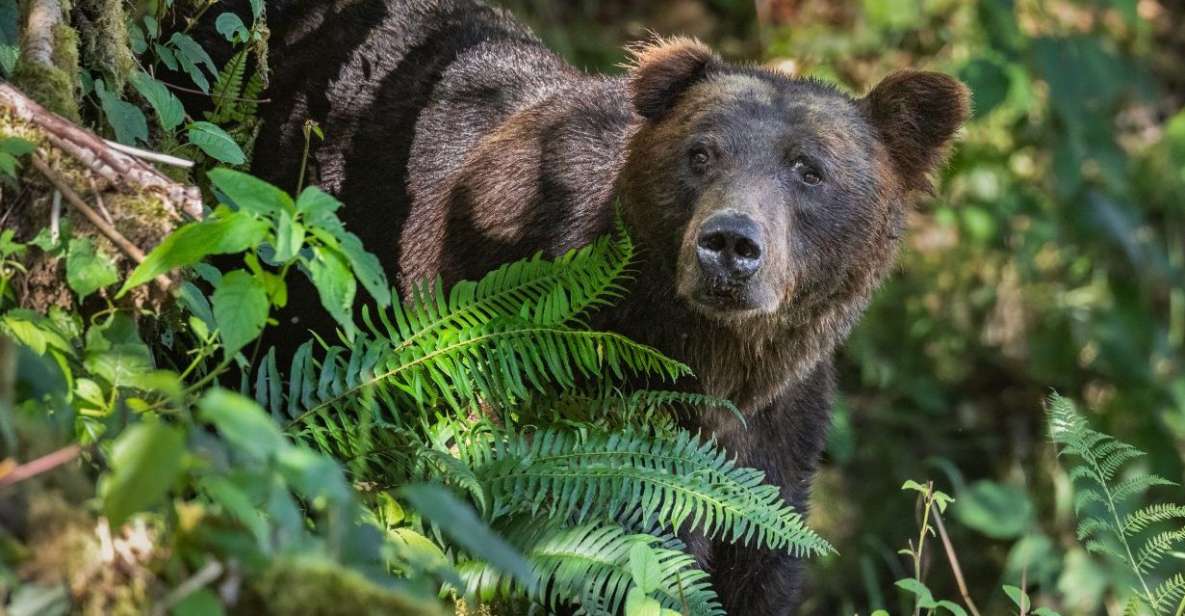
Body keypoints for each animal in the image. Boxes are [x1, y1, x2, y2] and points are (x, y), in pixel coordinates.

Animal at [235, 0, 966, 611]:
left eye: (808, 169)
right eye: (701, 153)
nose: (729, 244)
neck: (712, 357)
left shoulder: (779, 434)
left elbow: (761, 558)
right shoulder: (571, 387)